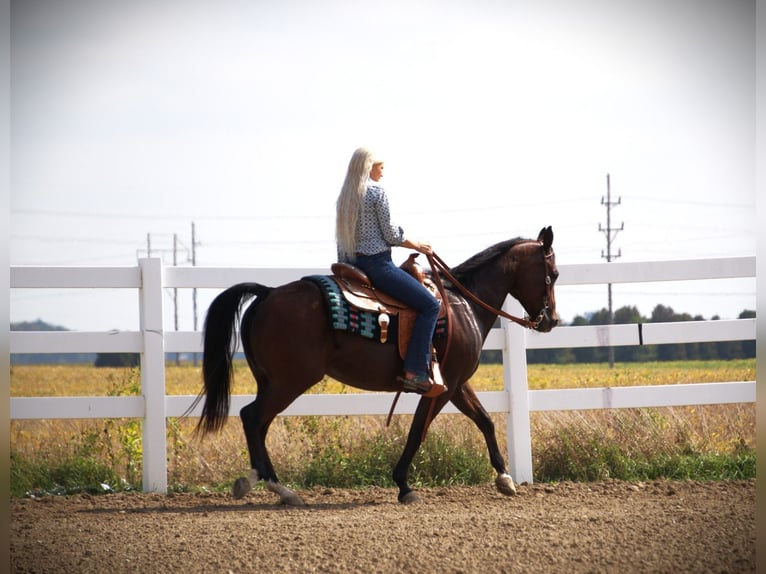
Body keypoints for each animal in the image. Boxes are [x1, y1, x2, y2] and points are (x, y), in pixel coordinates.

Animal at [193, 226, 559, 505]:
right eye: (553, 274)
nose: (551, 320)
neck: (463, 305)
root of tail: (268, 293)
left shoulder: (455, 383)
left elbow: (485, 420)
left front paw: (505, 478)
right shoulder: (441, 387)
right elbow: (417, 432)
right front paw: (404, 485)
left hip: (271, 381)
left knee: (258, 422)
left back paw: (260, 481)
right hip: (289, 381)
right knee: (253, 417)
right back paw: (277, 487)